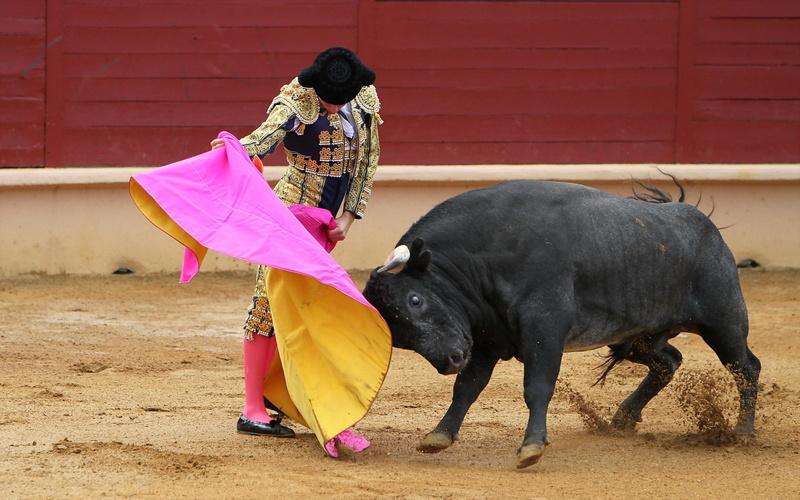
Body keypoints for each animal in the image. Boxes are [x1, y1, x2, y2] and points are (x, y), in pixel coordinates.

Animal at [363, 179, 760, 469]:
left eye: (415, 300)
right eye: (400, 338)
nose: (449, 360)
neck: (486, 252)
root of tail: (704, 224)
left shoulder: (545, 327)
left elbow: (536, 387)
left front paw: (531, 448)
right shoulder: (486, 339)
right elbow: (466, 388)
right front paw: (439, 436)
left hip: (722, 320)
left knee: (745, 366)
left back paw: (743, 432)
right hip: (636, 336)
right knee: (668, 361)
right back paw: (623, 418)